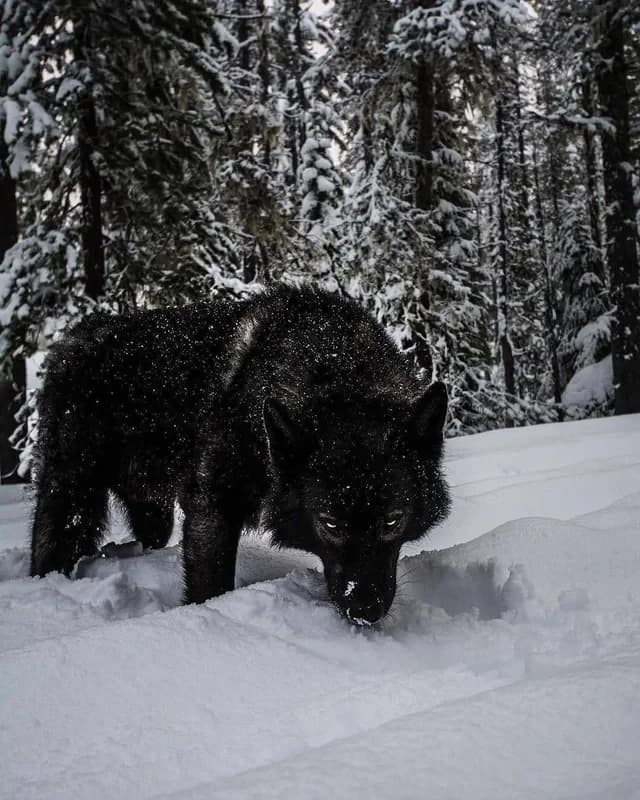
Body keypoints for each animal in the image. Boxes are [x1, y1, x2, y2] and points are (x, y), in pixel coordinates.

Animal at [31, 285, 450, 624]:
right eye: (330, 524)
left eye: (393, 520)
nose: (364, 610)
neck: (333, 362)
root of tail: (72, 341)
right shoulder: (212, 507)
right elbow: (210, 585)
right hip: (70, 502)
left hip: (152, 512)